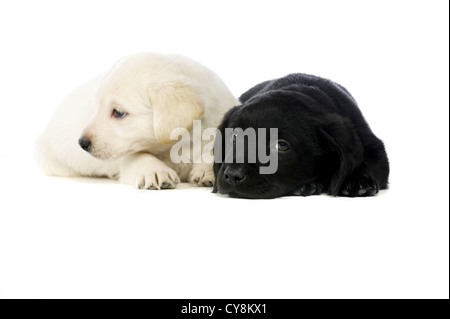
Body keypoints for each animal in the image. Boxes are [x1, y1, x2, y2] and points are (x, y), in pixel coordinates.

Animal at [37, 53, 239, 190]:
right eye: (97, 106)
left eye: (118, 113)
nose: (82, 143)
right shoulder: (125, 154)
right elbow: (137, 156)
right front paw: (154, 171)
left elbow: (211, 149)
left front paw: (207, 170)